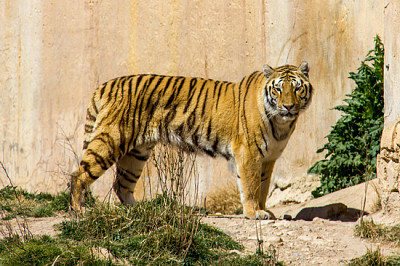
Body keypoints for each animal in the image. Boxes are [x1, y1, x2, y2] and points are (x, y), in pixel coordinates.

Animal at [69, 61, 312, 218]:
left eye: (297, 88)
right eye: (278, 89)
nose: (288, 106)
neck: (281, 123)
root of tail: (105, 85)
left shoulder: (268, 158)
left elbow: (263, 186)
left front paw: (263, 209)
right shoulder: (249, 154)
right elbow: (251, 186)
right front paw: (254, 213)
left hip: (137, 153)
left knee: (121, 185)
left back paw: (139, 210)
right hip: (110, 140)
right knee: (78, 174)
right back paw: (79, 211)